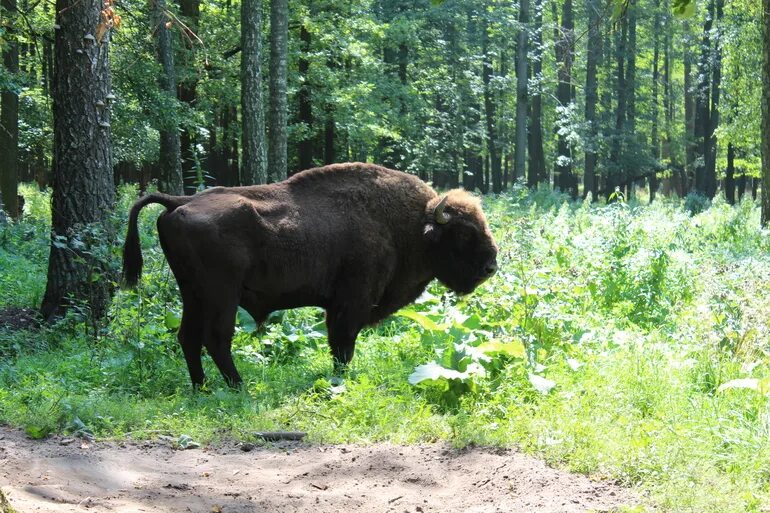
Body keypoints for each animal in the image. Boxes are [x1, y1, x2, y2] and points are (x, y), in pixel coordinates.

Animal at [123, 164, 498, 388]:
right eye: (463, 233)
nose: (491, 267)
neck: (414, 226)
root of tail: (179, 202)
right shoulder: (350, 302)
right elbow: (343, 345)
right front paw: (340, 381)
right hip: (221, 295)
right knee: (216, 339)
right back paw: (239, 387)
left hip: (191, 293)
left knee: (188, 337)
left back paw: (201, 388)